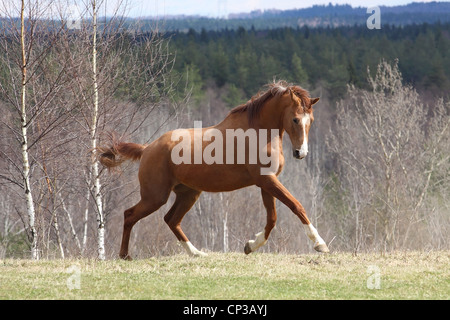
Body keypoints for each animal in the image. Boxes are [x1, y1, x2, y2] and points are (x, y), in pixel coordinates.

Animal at [98, 81, 328, 258]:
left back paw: (196, 253)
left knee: (171, 220)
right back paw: (124, 255)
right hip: (155, 197)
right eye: (295, 119)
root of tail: (147, 149)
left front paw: (250, 246)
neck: (258, 132)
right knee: (130, 215)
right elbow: (297, 206)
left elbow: (272, 219)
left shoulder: (268, 182)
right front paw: (320, 244)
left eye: (311, 120)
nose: (301, 153)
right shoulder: (267, 181)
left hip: (188, 194)